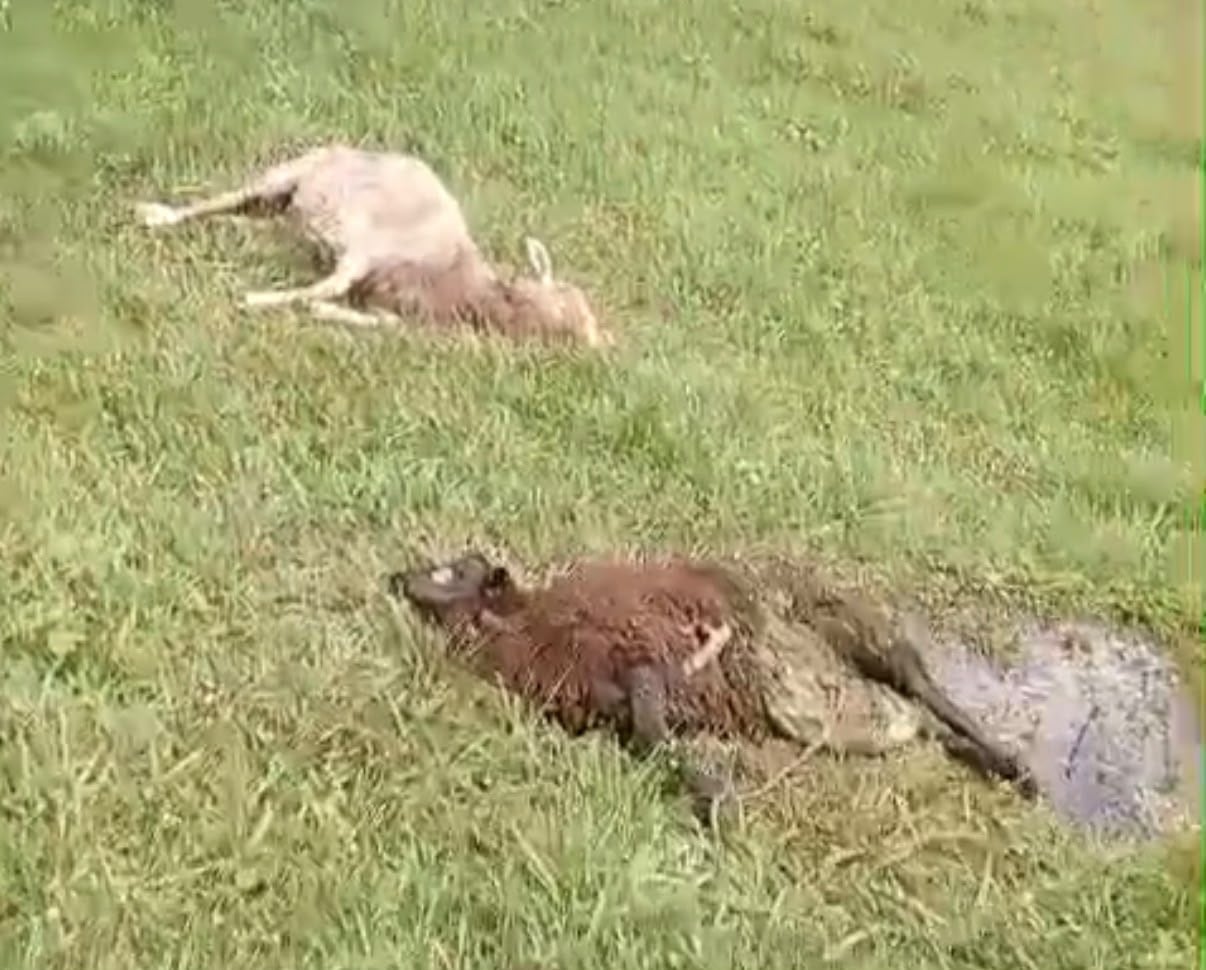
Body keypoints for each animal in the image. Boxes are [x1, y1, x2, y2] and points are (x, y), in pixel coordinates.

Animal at [135, 143, 610, 348]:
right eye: (563, 296)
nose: (596, 344)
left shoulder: (395, 308)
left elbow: (375, 320)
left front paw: (319, 311)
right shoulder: (366, 252)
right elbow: (325, 286)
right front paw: (255, 300)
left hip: (281, 210)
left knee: (247, 220)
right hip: (288, 173)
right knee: (223, 199)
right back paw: (158, 215)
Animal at [388, 552, 1037, 823]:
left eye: (452, 569)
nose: (397, 578)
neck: (519, 623)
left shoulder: (638, 662)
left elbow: (653, 732)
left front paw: (720, 807)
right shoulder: (610, 693)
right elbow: (649, 736)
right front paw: (718, 799)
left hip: (855, 627)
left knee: (924, 684)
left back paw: (1014, 768)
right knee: (924, 720)